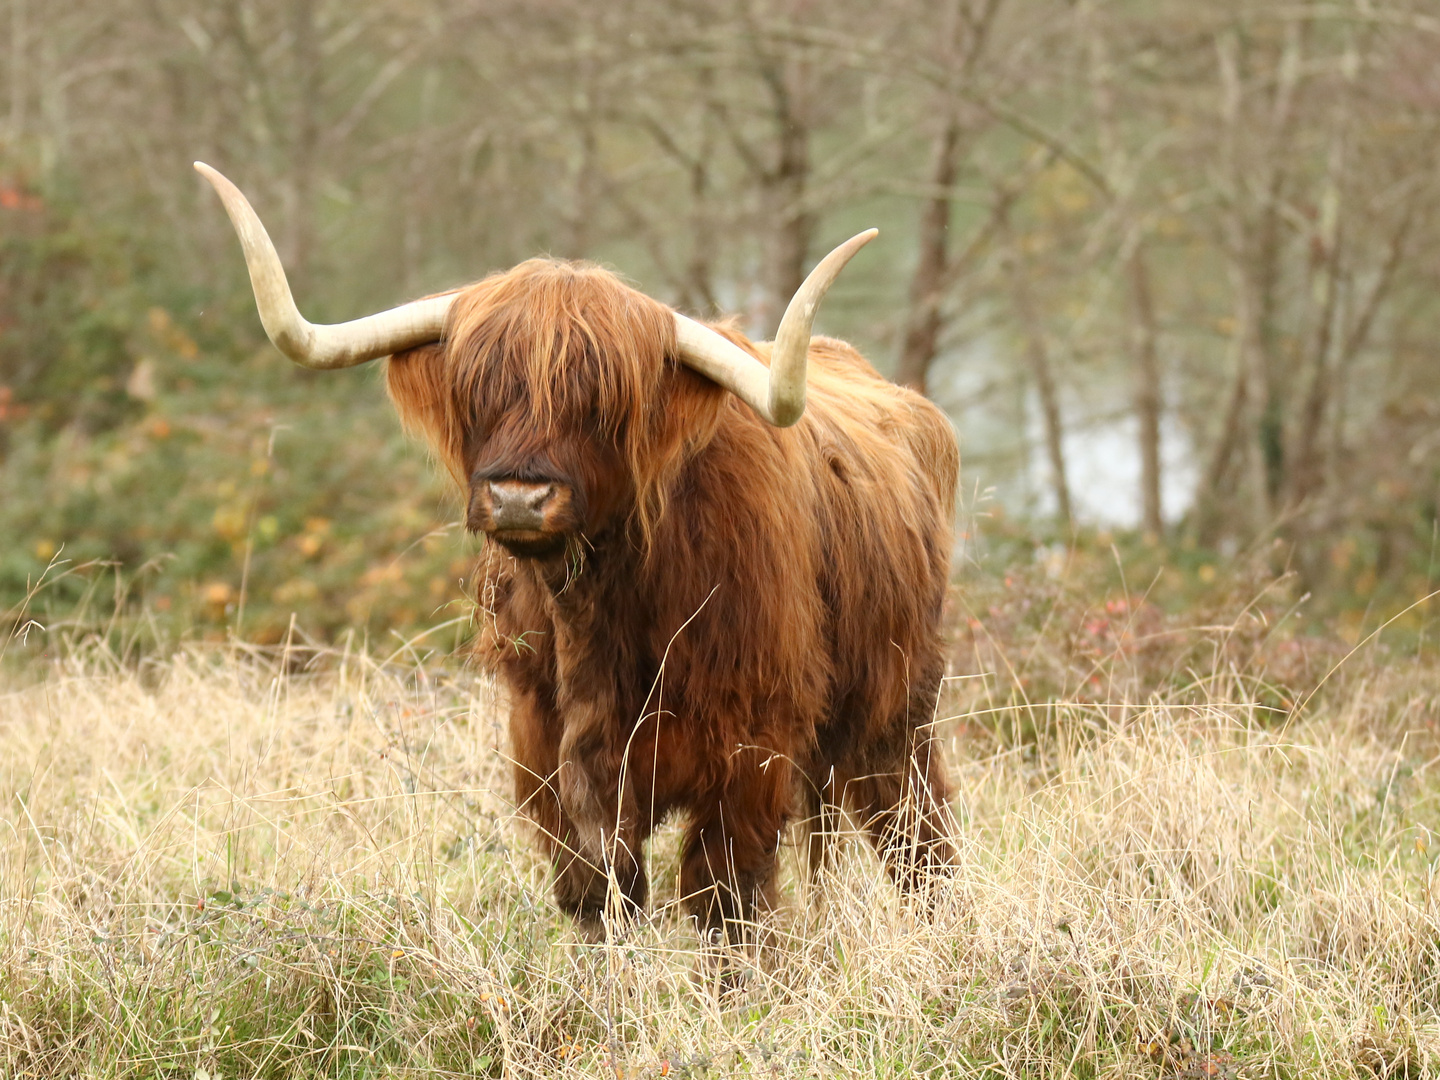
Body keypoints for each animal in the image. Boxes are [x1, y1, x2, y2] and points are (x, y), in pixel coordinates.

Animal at [194, 162, 956, 944]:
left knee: (917, 836)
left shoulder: (752, 742)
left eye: (601, 403)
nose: (518, 497)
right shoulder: (547, 747)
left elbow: (725, 897)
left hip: (899, 713)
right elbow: (596, 891)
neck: (597, 616)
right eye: (479, 390)